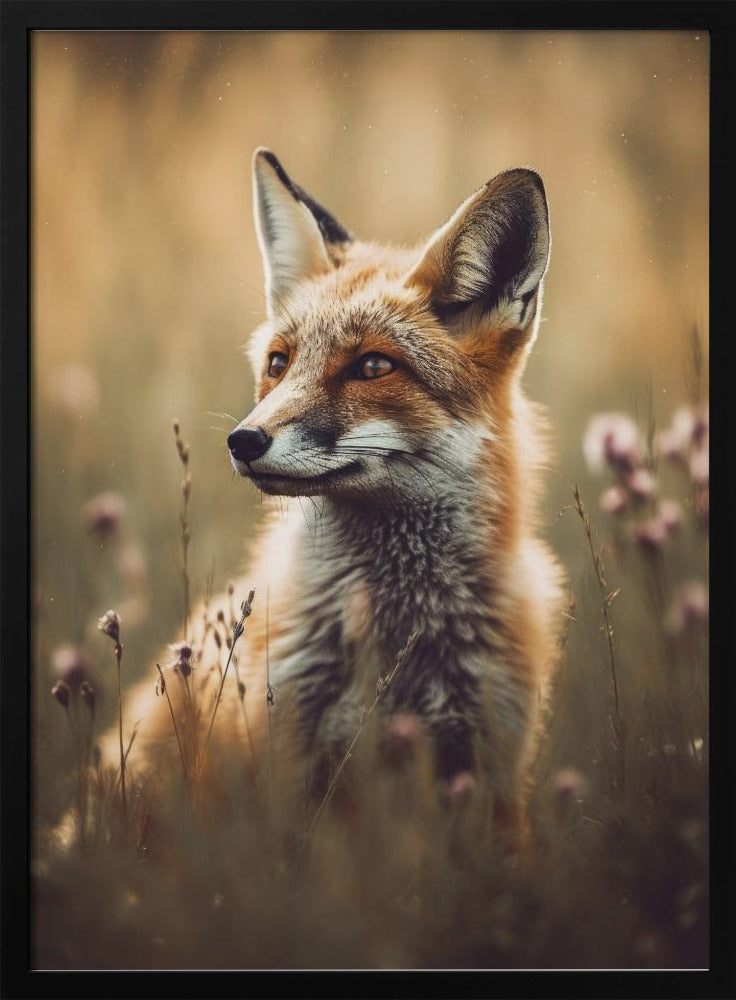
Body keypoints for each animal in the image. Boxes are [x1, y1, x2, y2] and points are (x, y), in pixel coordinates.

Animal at [81, 148, 565, 845]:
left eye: (373, 367)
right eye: (279, 363)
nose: (242, 440)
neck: (397, 640)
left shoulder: (489, 773)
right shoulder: (284, 767)